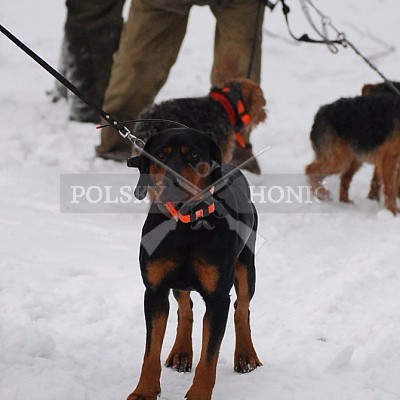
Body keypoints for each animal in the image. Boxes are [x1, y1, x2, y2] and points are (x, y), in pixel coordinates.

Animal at [126, 128, 260, 400]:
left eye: (195, 155)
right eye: (160, 155)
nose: (172, 182)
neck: (186, 225)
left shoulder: (218, 299)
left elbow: (209, 357)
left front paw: (198, 393)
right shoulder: (154, 292)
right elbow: (150, 351)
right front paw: (144, 390)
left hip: (246, 264)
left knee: (242, 307)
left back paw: (245, 355)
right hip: (179, 281)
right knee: (184, 307)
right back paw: (181, 353)